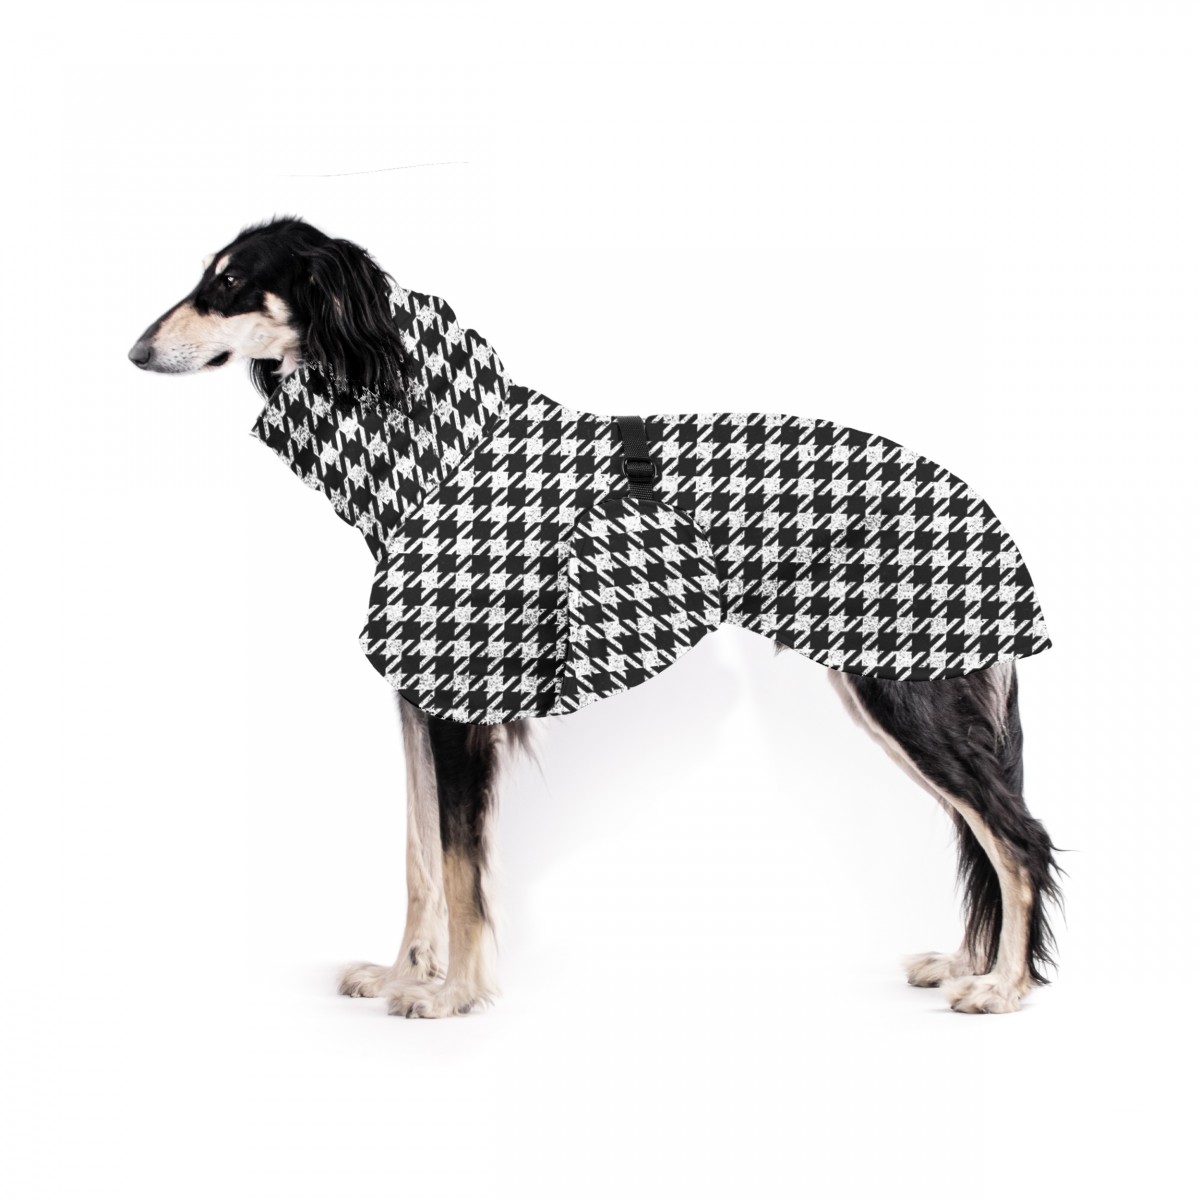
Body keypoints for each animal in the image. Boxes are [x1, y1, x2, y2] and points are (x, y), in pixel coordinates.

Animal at [130, 217, 1061, 1016]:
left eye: (231, 282)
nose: (136, 351)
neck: (442, 453)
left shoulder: (461, 701)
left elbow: (458, 865)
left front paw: (452, 995)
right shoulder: (418, 694)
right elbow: (419, 856)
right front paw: (402, 973)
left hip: (906, 687)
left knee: (1016, 838)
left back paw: (1003, 987)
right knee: (984, 831)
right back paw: (968, 962)